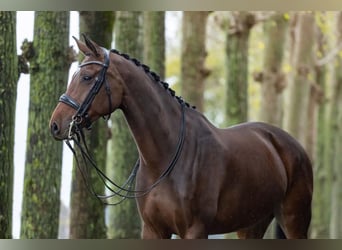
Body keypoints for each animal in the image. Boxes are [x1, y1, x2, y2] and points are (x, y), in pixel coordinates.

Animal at [49, 36, 314, 239]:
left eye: (87, 77)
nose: (56, 125)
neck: (166, 157)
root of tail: (292, 145)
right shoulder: (154, 230)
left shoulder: (195, 230)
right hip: (252, 224)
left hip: (294, 219)